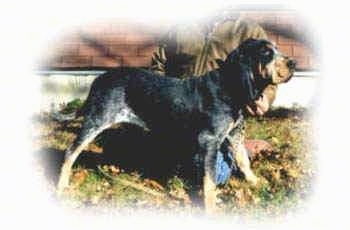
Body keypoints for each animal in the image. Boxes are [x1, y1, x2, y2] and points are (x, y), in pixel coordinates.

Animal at [56, 38, 296, 213]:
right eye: (266, 53)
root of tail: (98, 80)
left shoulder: (235, 134)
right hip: (96, 120)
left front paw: (255, 182)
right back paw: (61, 186)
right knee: (70, 151)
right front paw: (210, 209)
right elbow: (210, 181)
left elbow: (243, 160)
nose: (293, 63)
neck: (230, 86)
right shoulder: (210, 141)